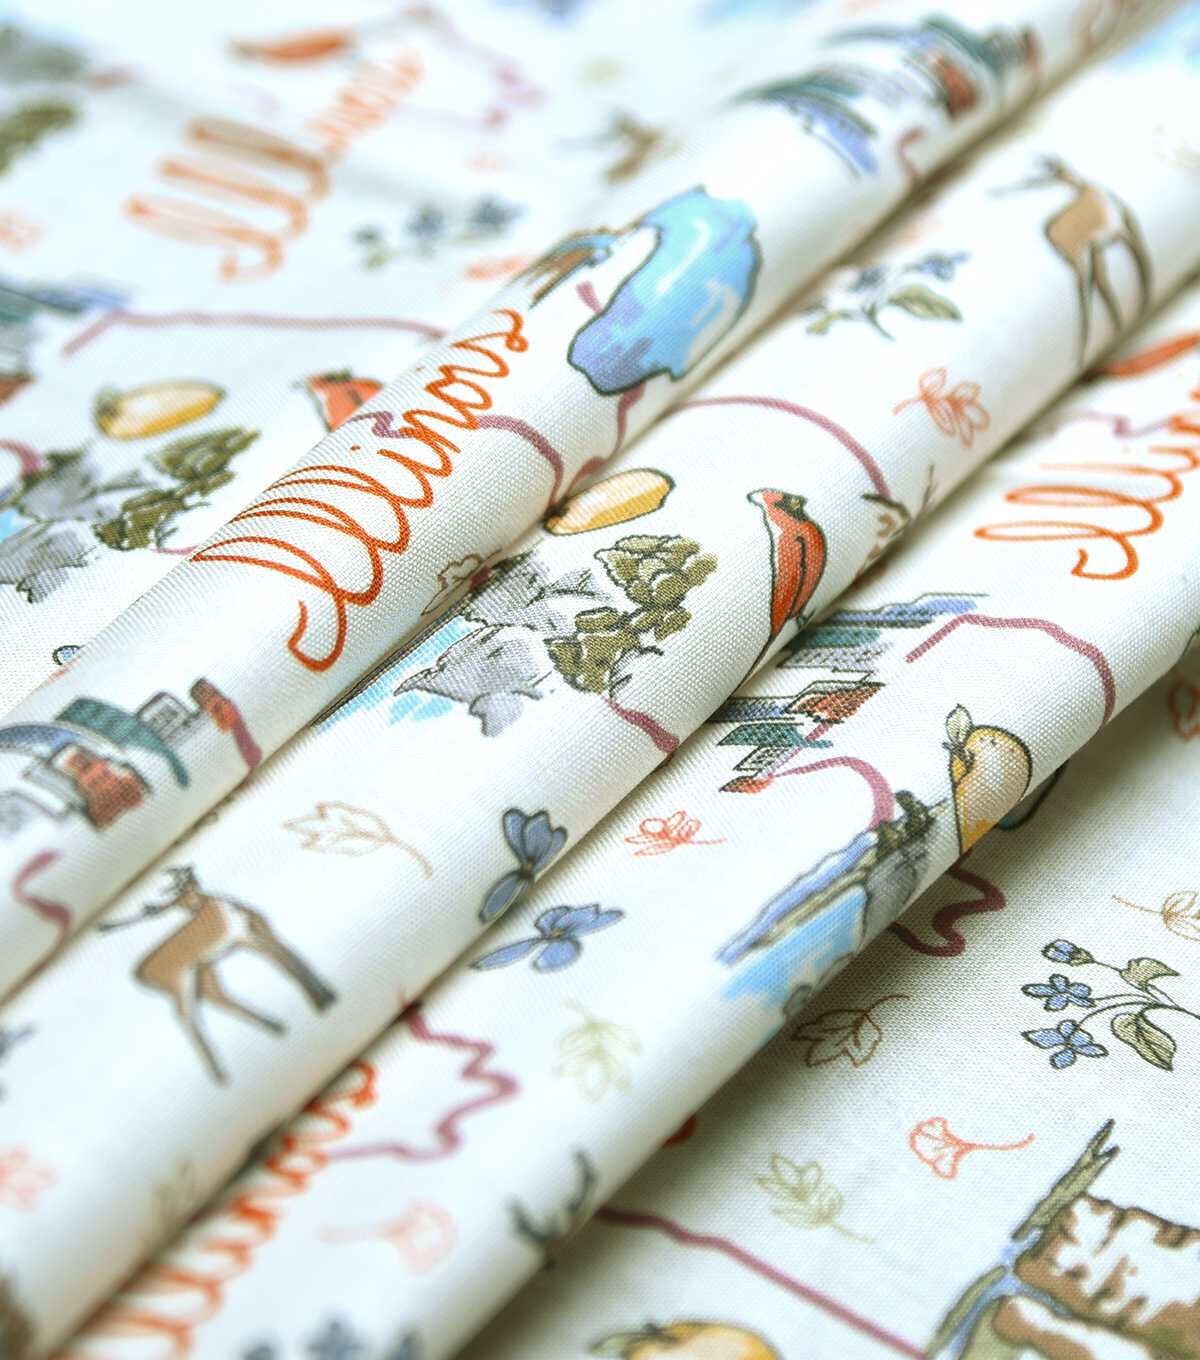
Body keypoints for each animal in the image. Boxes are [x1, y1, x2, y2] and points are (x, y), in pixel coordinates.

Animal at [116, 865, 337, 1084]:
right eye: (175, 903)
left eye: (190, 887)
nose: (197, 908)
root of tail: (139, 973)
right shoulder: (247, 939)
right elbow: (286, 965)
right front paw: (320, 1002)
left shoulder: (263, 932)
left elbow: (291, 958)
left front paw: (328, 996)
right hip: (180, 983)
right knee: (186, 1016)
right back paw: (219, 1074)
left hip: (202, 974)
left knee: (218, 999)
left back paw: (275, 1027)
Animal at [1000, 156, 1152, 364]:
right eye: (1044, 179)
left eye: (1050, 177)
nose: (1073, 179)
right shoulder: (1119, 232)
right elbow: (1141, 260)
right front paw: (1143, 301)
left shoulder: (1111, 238)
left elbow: (1137, 262)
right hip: (1083, 257)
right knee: (1088, 293)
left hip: (1089, 255)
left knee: (1096, 289)